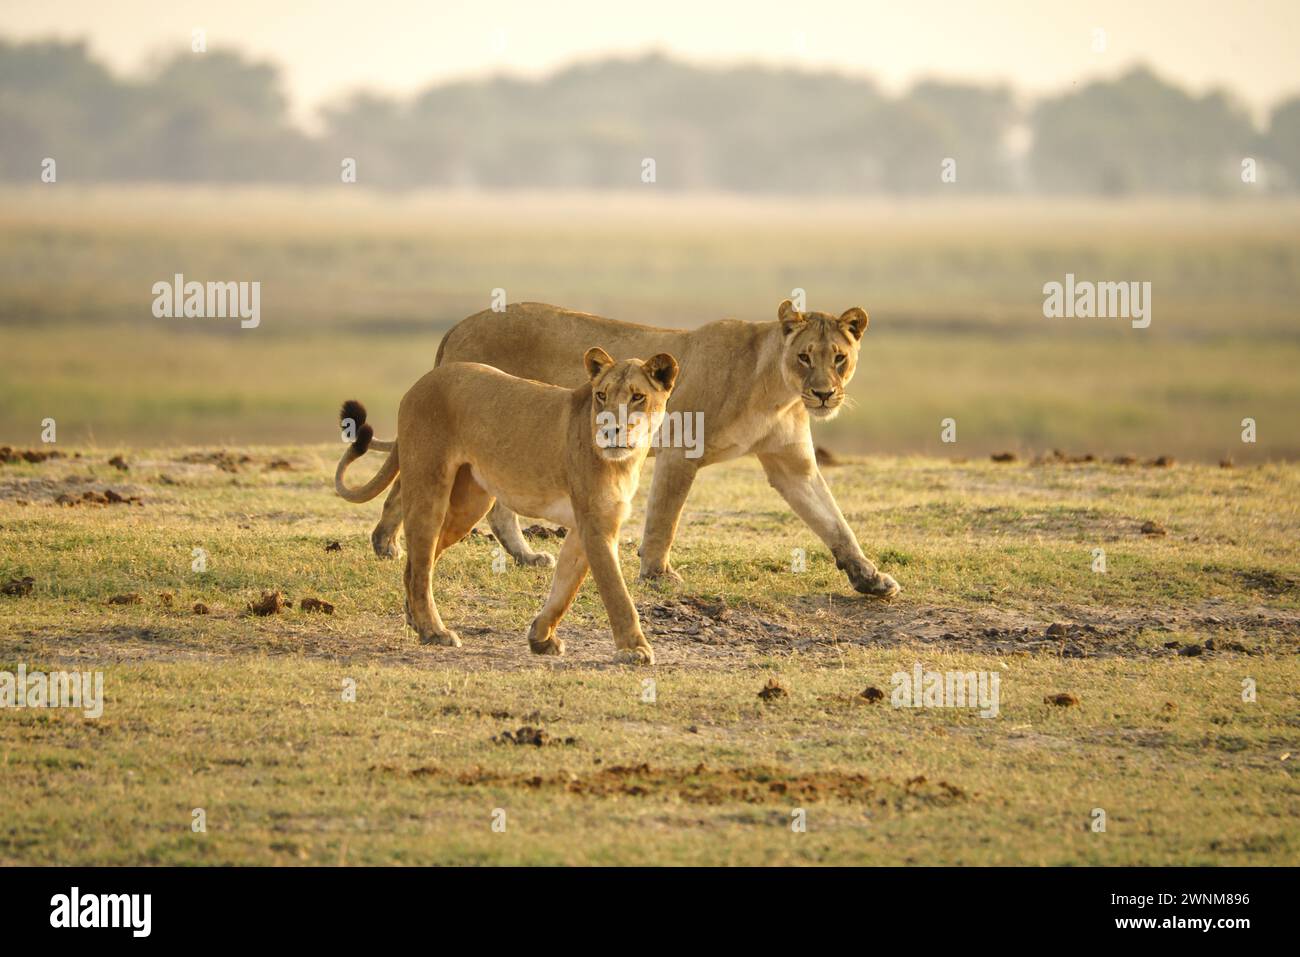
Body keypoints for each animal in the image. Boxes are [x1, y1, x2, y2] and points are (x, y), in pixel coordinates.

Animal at [335, 345, 681, 665]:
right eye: (601, 395)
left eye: (637, 397)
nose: (610, 431)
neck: (625, 460)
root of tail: (422, 381)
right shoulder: (596, 525)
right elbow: (616, 592)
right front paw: (634, 648)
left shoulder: (592, 523)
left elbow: (564, 588)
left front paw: (541, 638)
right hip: (429, 485)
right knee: (420, 566)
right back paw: (434, 631)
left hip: (469, 504)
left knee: (419, 564)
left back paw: (415, 619)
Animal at [366, 297, 894, 598]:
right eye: (804, 356)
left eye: (839, 358)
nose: (823, 394)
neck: (777, 390)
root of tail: (461, 324)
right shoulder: (683, 448)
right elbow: (664, 519)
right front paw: (658, 575)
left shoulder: (792, 465)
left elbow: (833, 521)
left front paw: (869, 578)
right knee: (408, 488)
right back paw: (386, 544)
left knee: (493, 506)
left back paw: (523, 556)